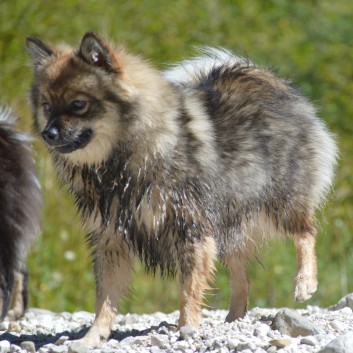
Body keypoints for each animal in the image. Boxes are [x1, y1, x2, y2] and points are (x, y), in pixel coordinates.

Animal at [26, 31, 336, 346]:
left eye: (78, 104)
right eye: (47, 105)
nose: (47, 133)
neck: (121, 160)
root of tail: (268, 80)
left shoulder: (190, 229)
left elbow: (188, 290)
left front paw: (187, 330)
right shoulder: (112, 237)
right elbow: (105, 300)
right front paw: (91, 338)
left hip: (278, 204)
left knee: (306, 232)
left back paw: (304, 283)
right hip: (228, 223)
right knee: (242, 276)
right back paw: (234, 319)